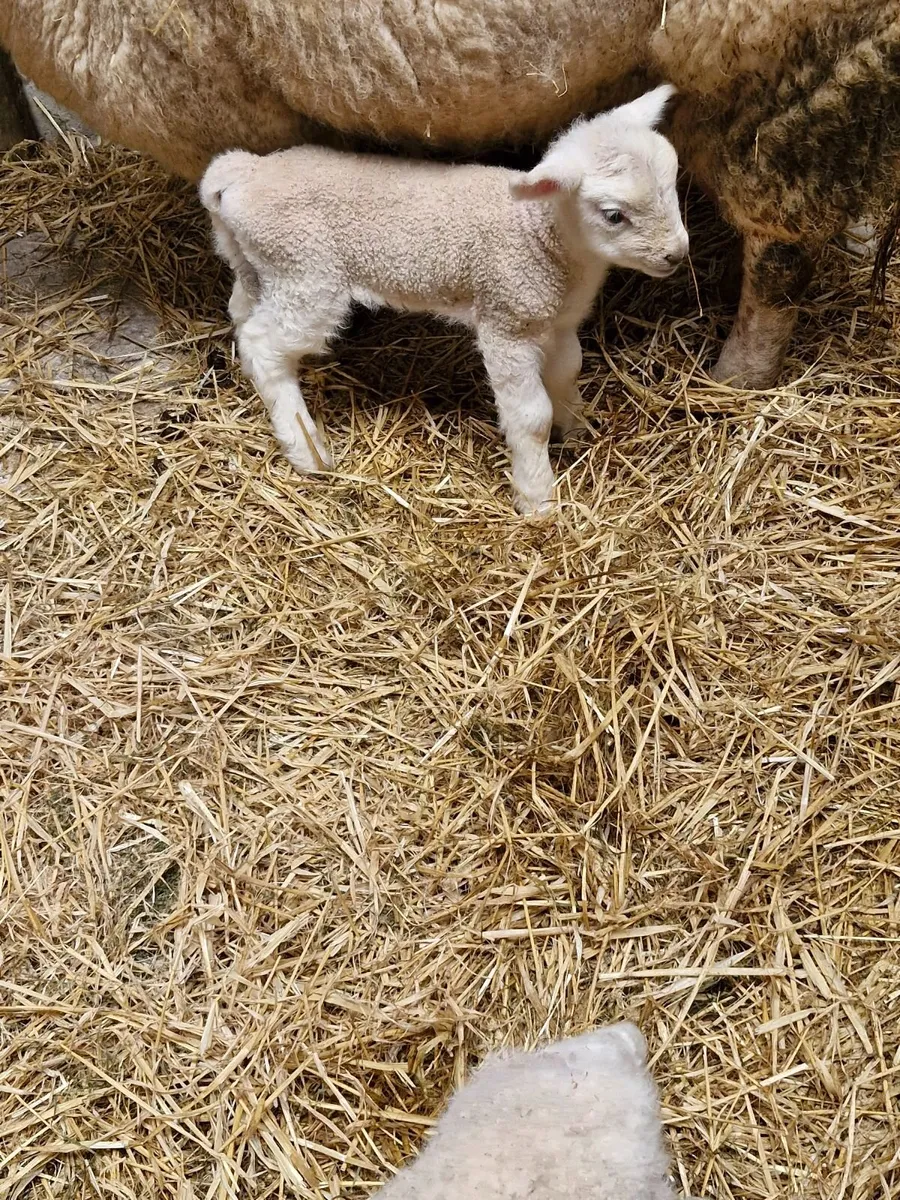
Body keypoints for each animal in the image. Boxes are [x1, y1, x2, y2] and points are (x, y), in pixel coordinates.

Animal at [199, 87, 688, 514]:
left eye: (673, 183)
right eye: (613, 215)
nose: (677, 254)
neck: (540, 234)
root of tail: (244, 173)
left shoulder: (557, 320)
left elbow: (569, 371)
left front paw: (577, 426)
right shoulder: (507, 320)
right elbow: (531, 417)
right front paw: (538, 499)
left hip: (264, 265)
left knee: (242, 312)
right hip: (307, 273)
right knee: (264, 344)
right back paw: (306, 449)